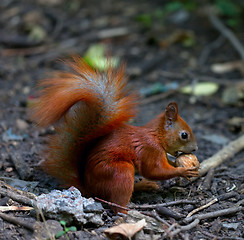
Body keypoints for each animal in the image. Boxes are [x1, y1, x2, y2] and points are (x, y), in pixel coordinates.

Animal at [31, 57, 198, 213]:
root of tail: (89, 190)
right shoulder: (150, 150)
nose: (195, 149)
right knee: (117, 203)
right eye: (184, 135)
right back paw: (127, 211)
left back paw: (144, 185)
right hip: (120, 172)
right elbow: (154, 171)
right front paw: (183, 171)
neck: (156, 136)